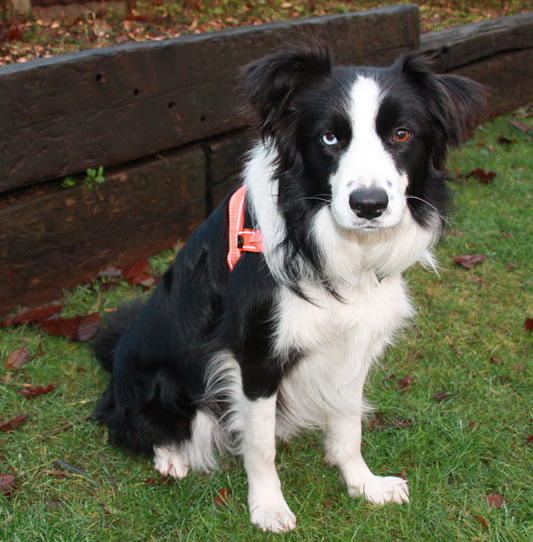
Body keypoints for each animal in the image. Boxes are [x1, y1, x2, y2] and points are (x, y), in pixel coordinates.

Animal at [92, 43, 486, 536]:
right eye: (330, 138)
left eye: (401, 134)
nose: (369, 205)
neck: (334, 248)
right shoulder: (256, 355)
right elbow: (261, 447)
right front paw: (268, 507)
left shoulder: (353, 342)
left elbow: (349, 424)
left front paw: (363, 484)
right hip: (164, 389)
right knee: (133, 425)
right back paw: (171, 458)